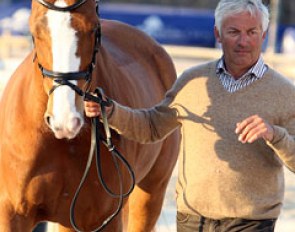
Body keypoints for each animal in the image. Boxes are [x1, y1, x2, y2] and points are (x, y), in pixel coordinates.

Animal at [0, 0, 180, 232]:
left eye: (94, 29)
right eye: (35, 32)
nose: (65, 121)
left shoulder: (103, 219)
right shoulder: (13, 214)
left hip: (150, 195)